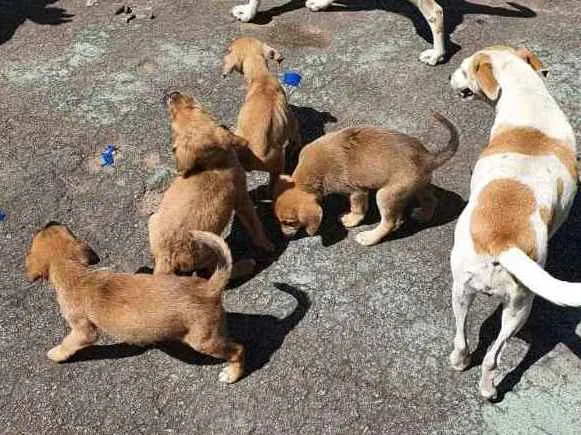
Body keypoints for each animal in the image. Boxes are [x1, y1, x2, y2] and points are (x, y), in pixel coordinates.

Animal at [24, 223, 245, 384]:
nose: (49, 221)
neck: (75, 273)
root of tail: (208, 288)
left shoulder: (83, 330)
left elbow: (68, 343)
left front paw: (56, 354)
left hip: (203, 340)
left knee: (238, 349)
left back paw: (231, 374)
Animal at [148, 92, 274, 276]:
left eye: (193, 108)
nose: (172, 94)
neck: (211, 164)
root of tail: (168, 255)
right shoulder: (241, 197)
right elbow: (254, 223)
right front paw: (267, 244)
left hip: (153, 219)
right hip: (214, 249)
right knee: (217, 271)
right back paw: (246, 265)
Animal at [274, 112, 460, 247]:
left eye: (289, 222)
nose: (283, 237)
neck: (311, 173)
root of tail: (427, 157)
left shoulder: (357, 191)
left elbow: (358, 209)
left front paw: (350, 220)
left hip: (386, 194)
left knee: (390, 222)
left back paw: (369, 238)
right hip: (419, 185)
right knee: (430, 199)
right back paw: (423, 215)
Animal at [448, 46, 580, 400]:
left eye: (463, 70)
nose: (449, 75)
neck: (525, 92)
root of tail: (501, 239)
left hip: (478, 295)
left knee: (472, 345)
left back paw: (470, 373)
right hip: (512, 305)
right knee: (488, 354)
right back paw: (485, 385)